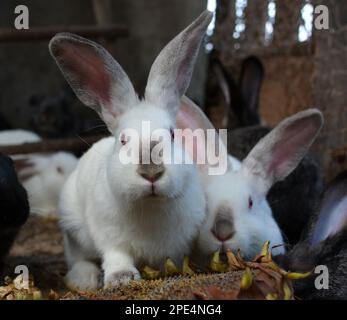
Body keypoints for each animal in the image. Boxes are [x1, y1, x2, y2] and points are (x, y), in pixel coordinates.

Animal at [50, 10, 215, 290]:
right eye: (124, 140)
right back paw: (85, 279)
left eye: (172, 134)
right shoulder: (109, 236)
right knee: (78, 258)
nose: (151, 173)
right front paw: (121, 278)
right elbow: (117, 256)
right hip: (73, 227)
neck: (150, 205)